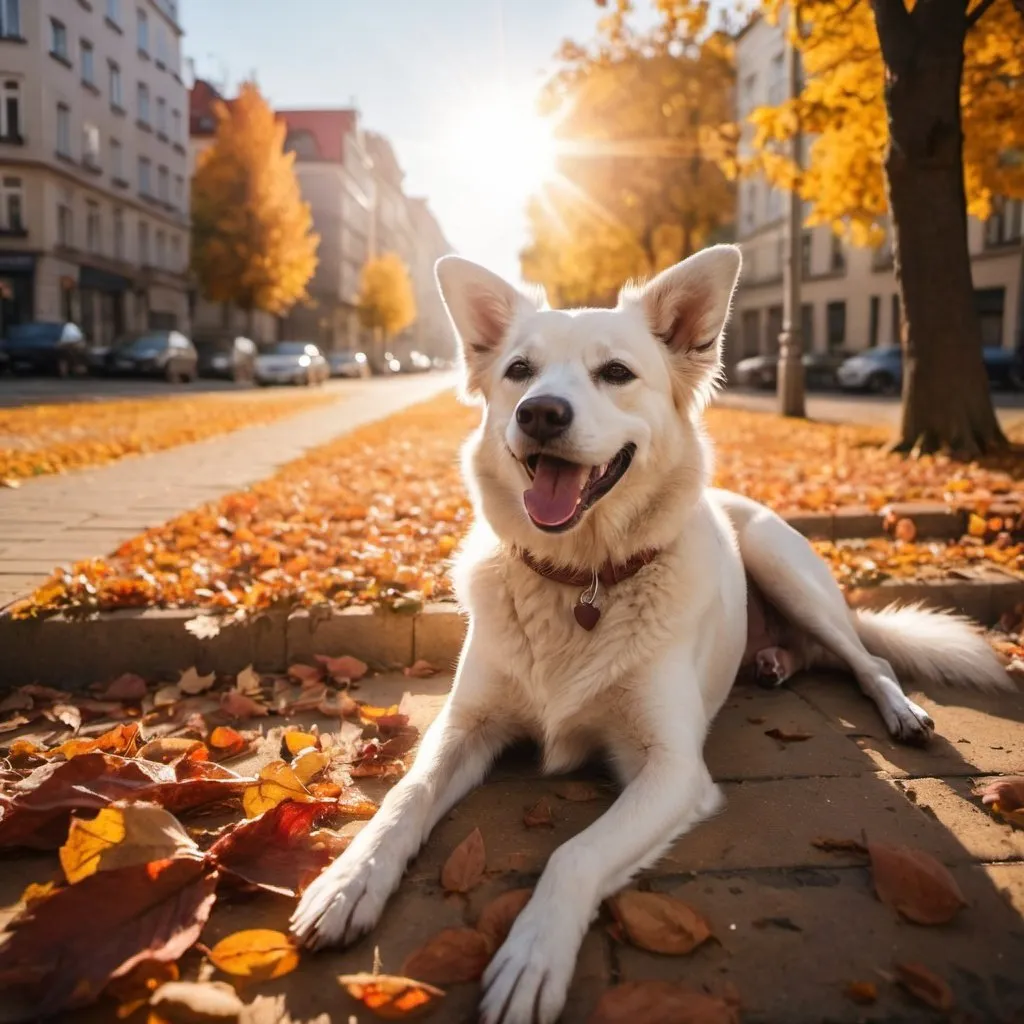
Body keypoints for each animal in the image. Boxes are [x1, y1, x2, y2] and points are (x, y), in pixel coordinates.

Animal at [292, 247, 1011, 1024]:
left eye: (615, 372)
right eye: (519, 370)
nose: (540, 412)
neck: (580, 582)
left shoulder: (671, 768)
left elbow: (574, 853)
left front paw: (532, 956)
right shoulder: (463, 728)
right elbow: (405, 796)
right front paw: (348, 881)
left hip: (784, 566)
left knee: (868, 657)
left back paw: (899, 711)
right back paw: (773, 662)